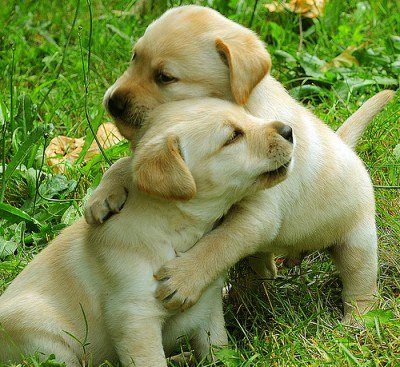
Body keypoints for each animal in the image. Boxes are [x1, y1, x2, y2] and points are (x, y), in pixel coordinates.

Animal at [0, 99, 294, 366]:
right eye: (233, 136)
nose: (289, 130)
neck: (176, 233)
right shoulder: (135, 319)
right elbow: (151, 359)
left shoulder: (208, 308)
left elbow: (217, 349)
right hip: (46, 341)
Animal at [84, 4, 394, 324]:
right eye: (134, 57)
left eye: (165, 77)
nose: (112, 103)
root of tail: (347, 146)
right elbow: (125, 162)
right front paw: (102, 195)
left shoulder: (258, 215)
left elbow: (220, 242)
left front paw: (184, 277)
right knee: (264, 268)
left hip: (357, 241)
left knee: (360, 281)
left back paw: (357, 320)